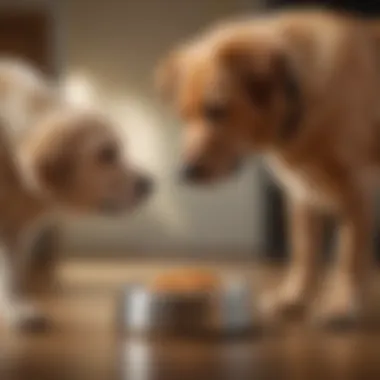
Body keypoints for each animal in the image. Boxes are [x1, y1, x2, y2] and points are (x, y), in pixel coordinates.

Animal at [0, 58, 153, 332]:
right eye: (106, 154)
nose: (150, 185)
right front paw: (16, 312)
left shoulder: (15, 231)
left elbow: (11, 274)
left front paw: (16, 308)